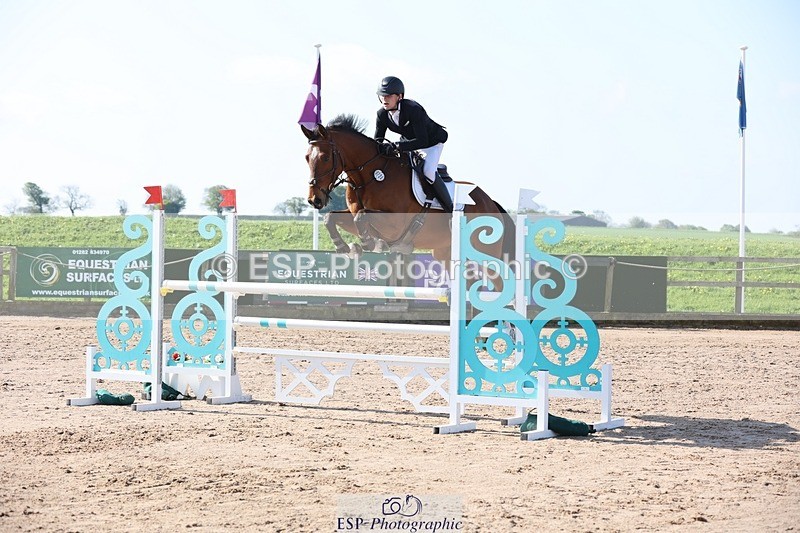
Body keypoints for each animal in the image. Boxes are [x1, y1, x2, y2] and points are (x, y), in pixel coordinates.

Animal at [301, 114, 515, 268]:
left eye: (325, 157)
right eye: (306, 157)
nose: (314, 200)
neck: (368, 177)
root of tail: (490, 202)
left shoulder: (395, 224)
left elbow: (361, 216)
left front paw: (369, 244)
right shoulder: (354, 214)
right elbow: (332, 217)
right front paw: (346, 247)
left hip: (486, 255)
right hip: (445, 254)